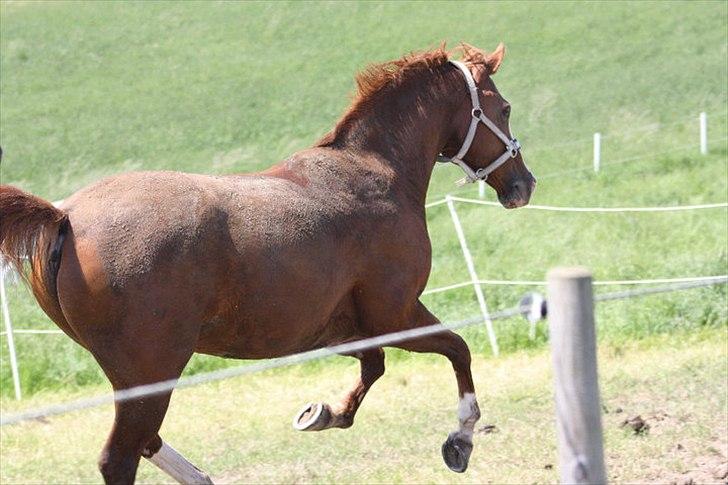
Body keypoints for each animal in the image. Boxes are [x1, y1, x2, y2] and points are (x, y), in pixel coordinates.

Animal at [0, 43, 536, 482]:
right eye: (505, 108)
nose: (523, 184)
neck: (375, 173)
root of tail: (65, 216)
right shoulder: (396, 314)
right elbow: (458, 349)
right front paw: (460, 441)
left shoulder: (351, 329)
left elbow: (375, 367)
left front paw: (323, 414)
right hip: (152, 374)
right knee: (121, 457)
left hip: (133, 379)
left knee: (146, 443)